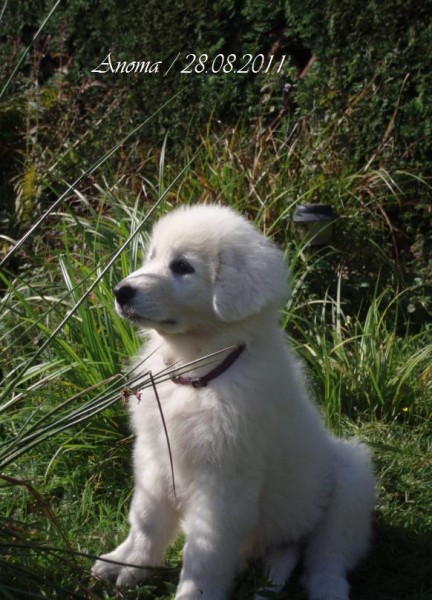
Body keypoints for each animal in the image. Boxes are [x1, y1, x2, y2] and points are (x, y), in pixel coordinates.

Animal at [92, 204, 375, 600]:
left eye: (182, 267)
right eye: (152, 257)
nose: (120, 292)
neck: (196, 376)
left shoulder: (224, 481)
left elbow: (206, 550)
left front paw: (193, 593)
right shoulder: (154, 454)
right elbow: (146, 517)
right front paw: (128, 563)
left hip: (352, 479)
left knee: (328, 554)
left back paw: (327, 587)